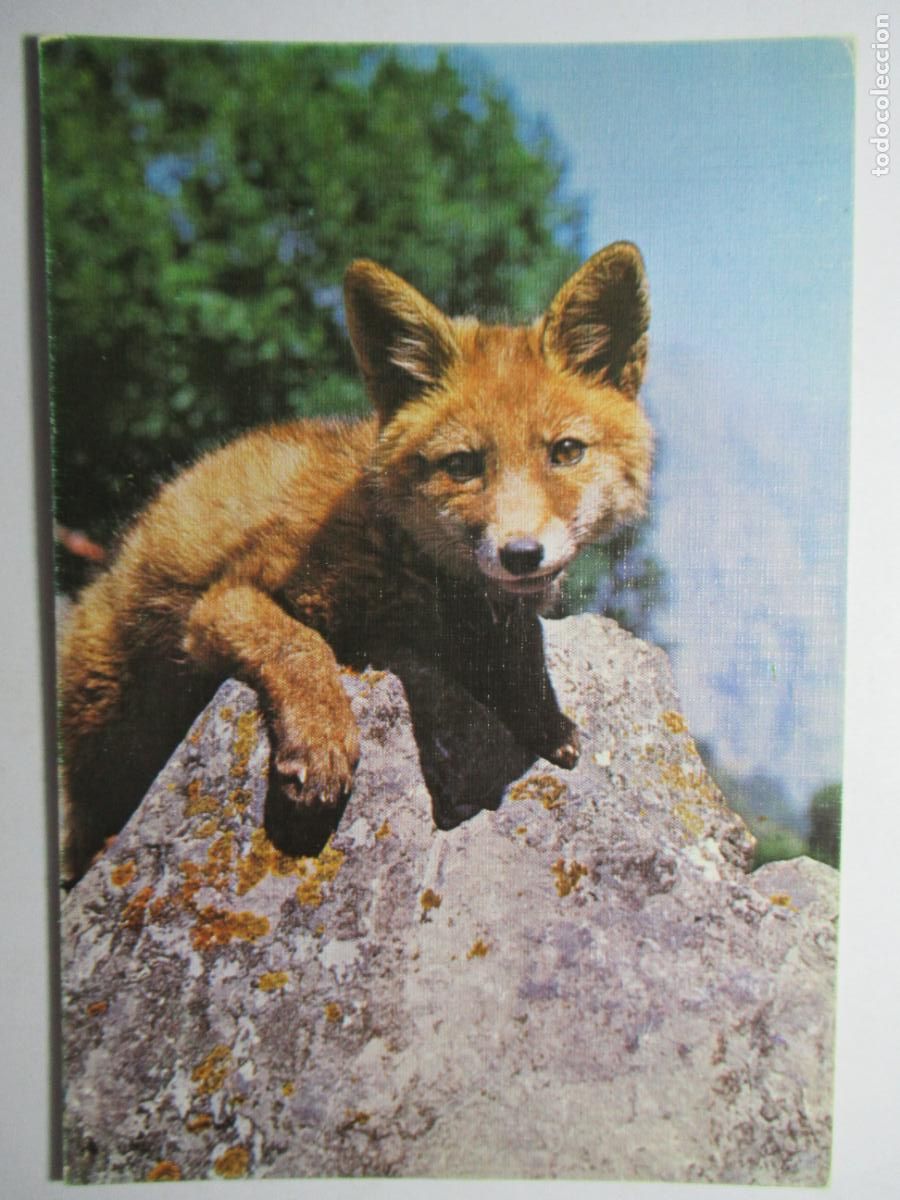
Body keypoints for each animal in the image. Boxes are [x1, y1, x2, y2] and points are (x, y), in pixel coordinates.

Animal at [58, 241, 652, 885]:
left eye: (565, 452)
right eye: (463, 465)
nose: (521, 555)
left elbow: (525, 643)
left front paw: (542, 714)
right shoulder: (223, 601)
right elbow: (301, 646)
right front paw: (322, 742)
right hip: (108, 720)